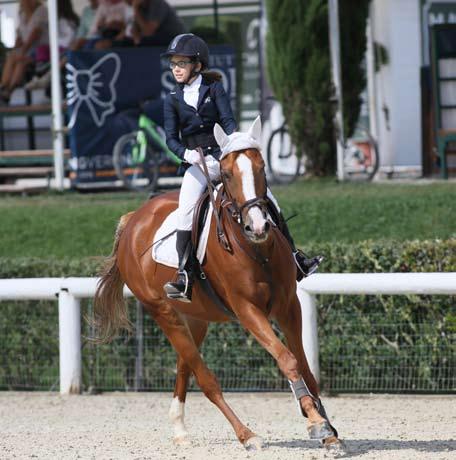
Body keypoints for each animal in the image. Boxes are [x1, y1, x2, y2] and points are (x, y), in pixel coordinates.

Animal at [93, 118, 342, 452]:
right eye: (226, 174)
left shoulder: (290, 306)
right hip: (162, 312)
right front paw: (316, 423)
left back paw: (180, 429)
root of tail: (134, 219)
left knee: (184, 366)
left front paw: (328, 429)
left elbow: (303, 365)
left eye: (262, 168)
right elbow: (288, 360)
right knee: (205, 379)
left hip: (196, 318)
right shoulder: (248, 311)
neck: (257, 250)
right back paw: (247, 435)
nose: (258, 226)